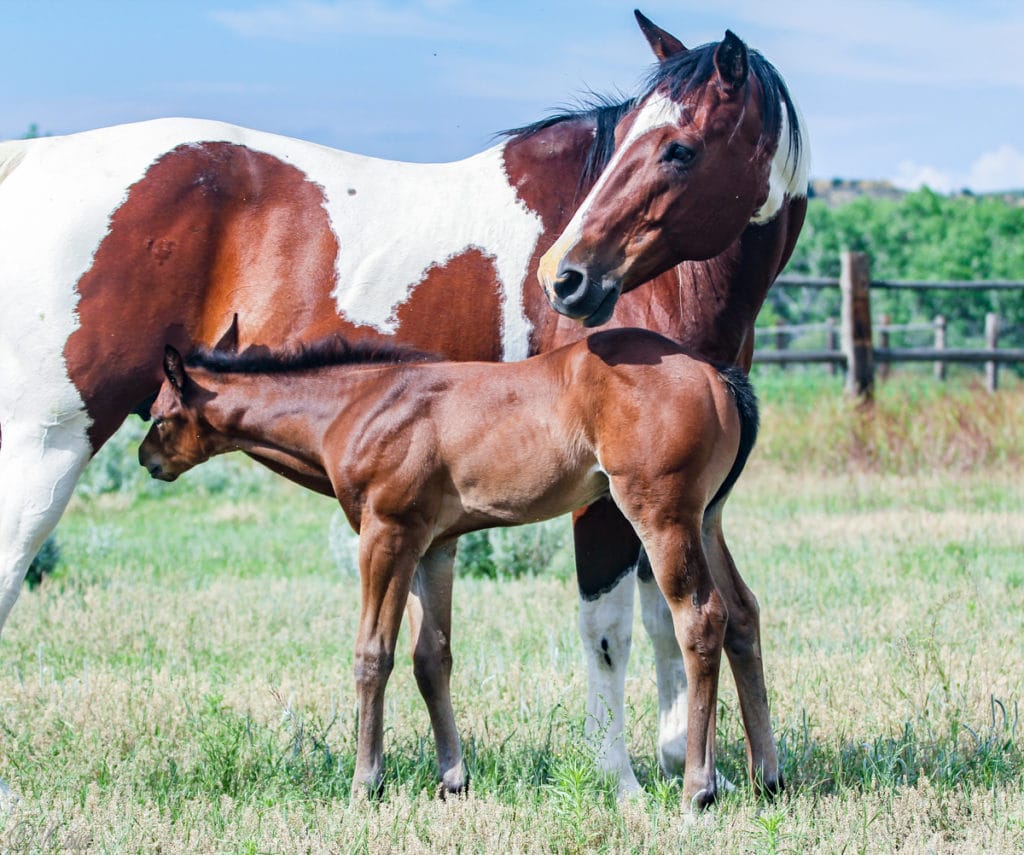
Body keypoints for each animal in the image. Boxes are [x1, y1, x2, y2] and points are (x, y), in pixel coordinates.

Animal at [138, 329, 761, 810]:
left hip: (662, 515)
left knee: (702, 619)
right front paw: (453, 780)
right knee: (743, 613)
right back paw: (766, 776)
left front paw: (366, 784)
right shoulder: (433, 547)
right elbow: (430, 658)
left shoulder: (386, 534)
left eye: (160, 416)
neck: (356, 407)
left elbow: (373, 656)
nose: (147, 460)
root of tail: (718, 376)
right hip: (707, 517)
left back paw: (699, 789)